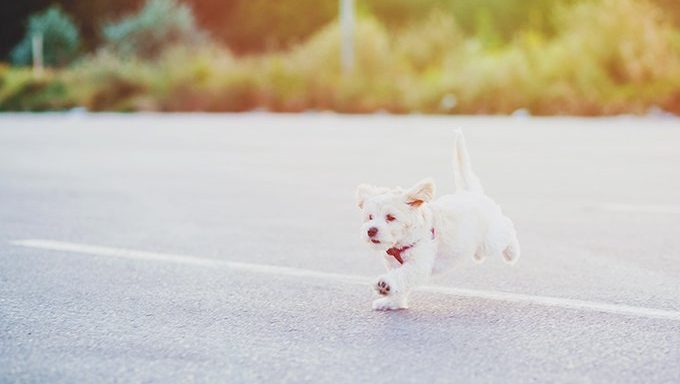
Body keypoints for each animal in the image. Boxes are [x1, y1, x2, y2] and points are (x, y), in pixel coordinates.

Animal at [356, 130, 520, 310]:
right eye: (370, 217)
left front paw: (385, 284)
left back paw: (512, 253)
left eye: (390, 217)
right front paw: (392, 301)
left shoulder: (419, 265)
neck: (401, 243)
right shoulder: (395, 264)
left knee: (507, 227)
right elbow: (401, 285)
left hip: (491, 240)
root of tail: (472, 192)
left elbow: (402, 275)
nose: (371, 230)